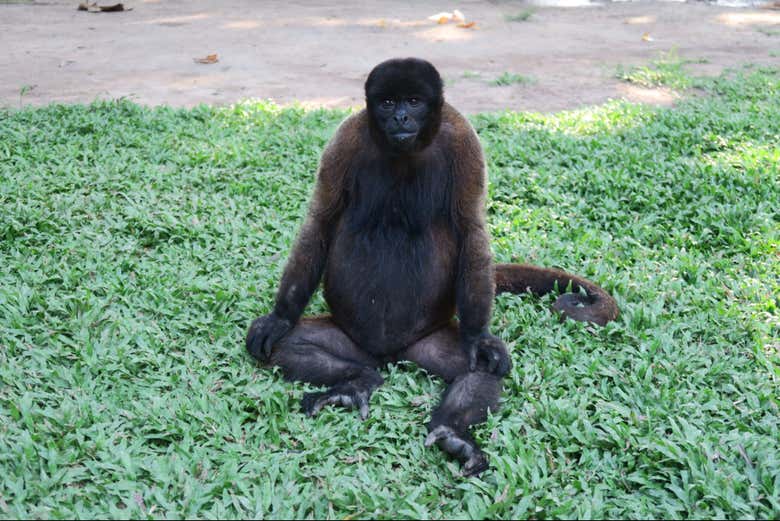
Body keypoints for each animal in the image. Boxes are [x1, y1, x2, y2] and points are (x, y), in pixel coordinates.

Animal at [246, 58, 618, 476]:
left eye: (413, 101)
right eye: (387, 102)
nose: (401, 117)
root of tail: (390, 355)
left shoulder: (462, 139)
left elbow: (471, 228)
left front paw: (479, 337)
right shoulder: (346, 139)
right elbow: (321, 220)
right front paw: (280, 317)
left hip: (427, 341)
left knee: (480, 368)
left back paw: (452, 432)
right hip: (350, 340)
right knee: (288, 346)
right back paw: (356, 381)